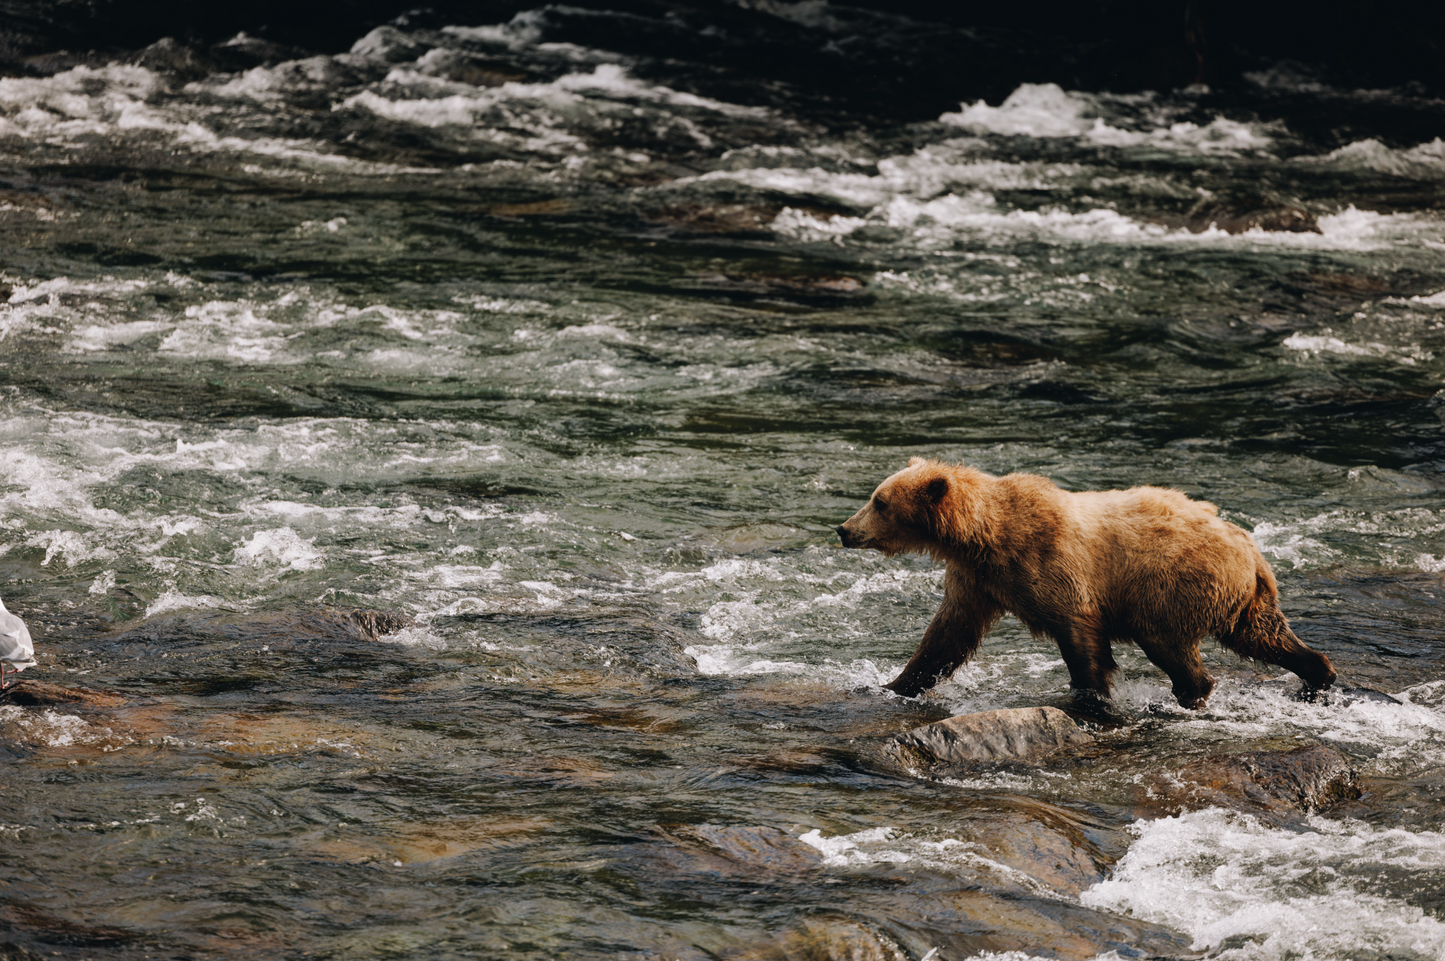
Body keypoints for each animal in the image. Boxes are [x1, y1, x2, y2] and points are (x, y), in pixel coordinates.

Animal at [835, 458, 1335, 708]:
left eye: (879, 501)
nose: (843, 528)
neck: (986, 537)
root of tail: (1252, 550)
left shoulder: (1055, 568)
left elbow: (1080, 637)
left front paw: (1091, 693)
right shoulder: (979, 581)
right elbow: (946, 638)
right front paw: (891, 685)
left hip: (1173, 585)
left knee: (1169, 644)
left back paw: (1190, 692)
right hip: (1242, 600)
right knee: (1265, 636)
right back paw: (1317, 675)